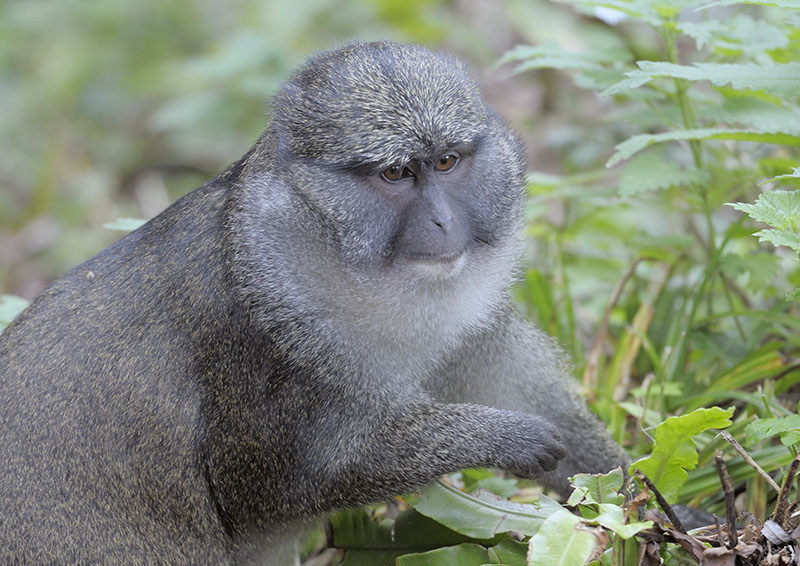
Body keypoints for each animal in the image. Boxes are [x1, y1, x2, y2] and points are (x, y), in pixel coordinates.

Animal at [0, 41, 627, 565]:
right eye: (396, 173)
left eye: (447, 162)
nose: (444, 223)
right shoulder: (262, 334)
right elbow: (276, 485)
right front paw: (503, 437)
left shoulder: (471, 327)